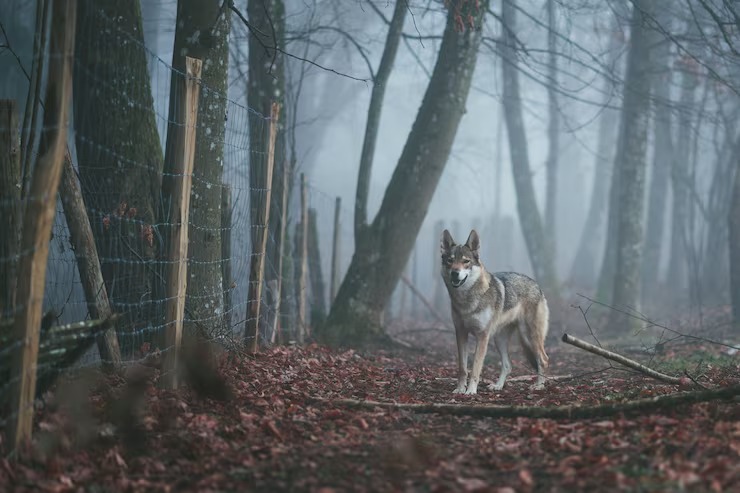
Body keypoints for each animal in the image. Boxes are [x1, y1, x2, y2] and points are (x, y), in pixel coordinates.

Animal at [440, 229, 549, 395]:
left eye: (466, 261)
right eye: (450, 261)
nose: (454, 273)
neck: (466, 300)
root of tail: (537, 284)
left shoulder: (482, 336)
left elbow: (475, 368)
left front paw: (470, 391)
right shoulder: (461, 333)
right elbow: (463, 368)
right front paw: (460, 389)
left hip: (530, 336)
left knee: (543, 360)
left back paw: (539, 385)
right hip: (500, 339)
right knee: (508, 365)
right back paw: (498, 386)